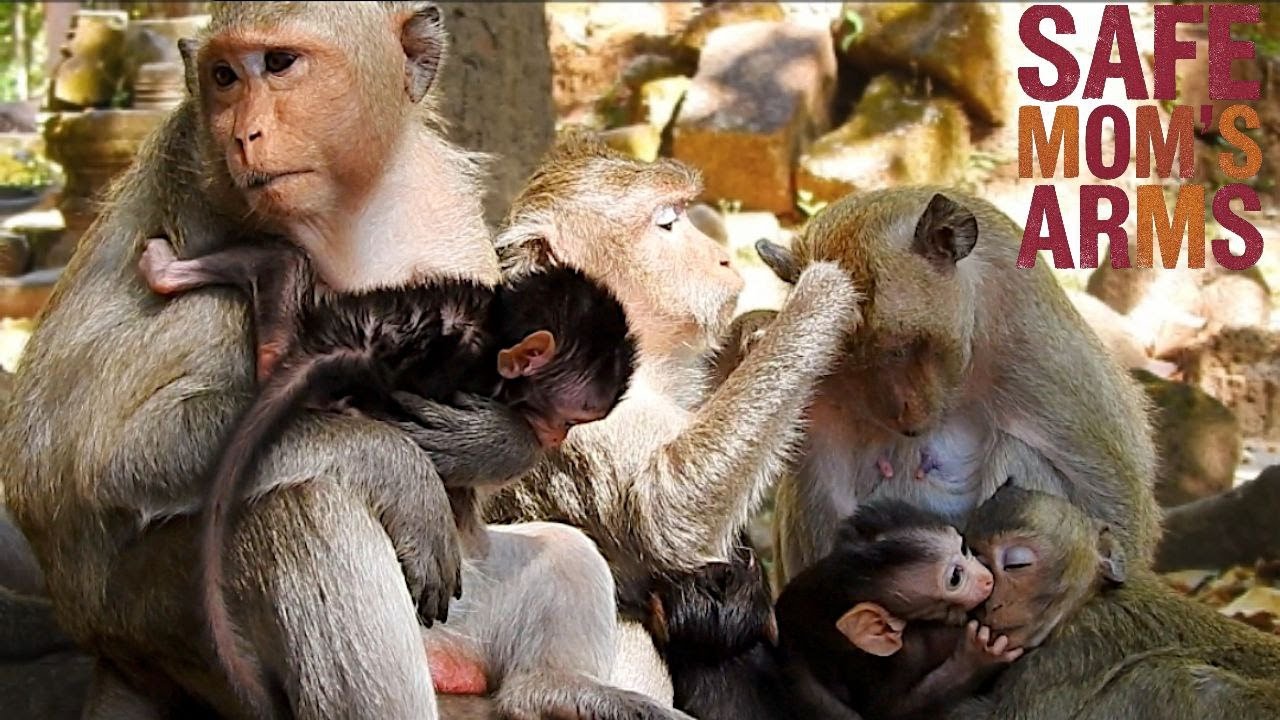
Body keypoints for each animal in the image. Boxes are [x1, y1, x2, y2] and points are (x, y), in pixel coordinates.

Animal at [408, 131, 862, 700]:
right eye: (667, 221)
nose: (722, 259)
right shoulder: (585, 399)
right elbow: (667, 509)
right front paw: (821, 292)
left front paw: (757, 330)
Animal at [753, 187, 1160, 590]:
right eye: (851, 364)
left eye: (902, 347)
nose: (907, 420)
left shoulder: (1037, 354)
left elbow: (1116, 505)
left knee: (1019, 452)